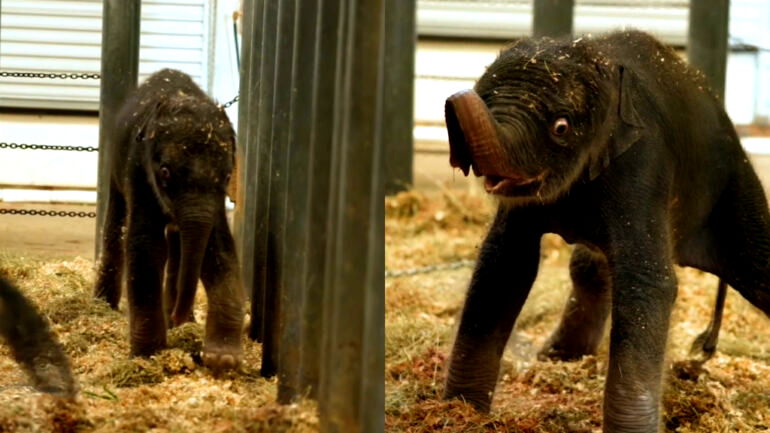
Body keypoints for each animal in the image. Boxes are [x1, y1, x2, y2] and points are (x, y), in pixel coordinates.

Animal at [94, 69, 243, 370]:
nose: (175, 317)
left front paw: (223, 359)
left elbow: (218, 247)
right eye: (164, 172)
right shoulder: (139, 170)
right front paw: (148, 356)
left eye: (226, 176)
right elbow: (146, 246)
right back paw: (103, 305)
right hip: (115, 170)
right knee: (116, 225)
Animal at [440, 28, 768, 430]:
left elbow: (647, 280)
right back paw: (557, 355)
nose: (457, 97)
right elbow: (504, 264)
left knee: (759, 271)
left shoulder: (643, 162)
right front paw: (460, 411)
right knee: (589, 266)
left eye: (561, 127)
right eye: (485, 100)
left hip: (734, 185)